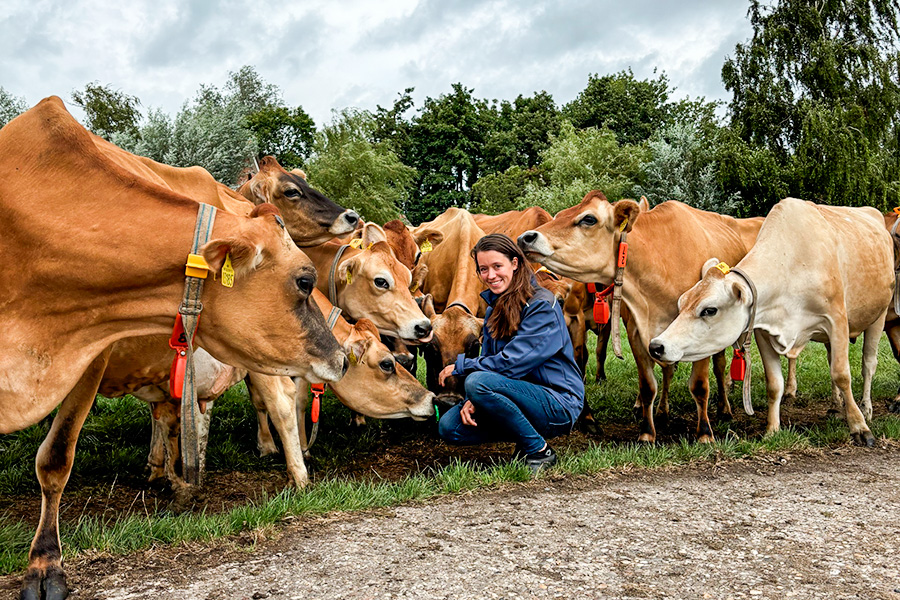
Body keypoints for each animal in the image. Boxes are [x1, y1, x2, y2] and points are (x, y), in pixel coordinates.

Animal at [520, 192, 760, 446]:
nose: (526, 237)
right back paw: (662, 412)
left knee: (719, 367)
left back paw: (724, 409)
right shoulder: (637, 333)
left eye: (589, 219)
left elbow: (699, 386)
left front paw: (704, 432)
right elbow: (647, 386)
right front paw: (647, 432)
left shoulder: (700, 336)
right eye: (558, 216)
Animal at [648, 197, 892, 446]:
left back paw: (866, 408)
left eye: (709, 310)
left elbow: (842, 374)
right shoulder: (763, 332)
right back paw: (835, 406)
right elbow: (774, 384)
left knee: (868, 364)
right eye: (682, 303)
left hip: (879, 315)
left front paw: (859, 426)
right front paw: (772, 429)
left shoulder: (837, 321)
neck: (791, 266)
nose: (656, 345)